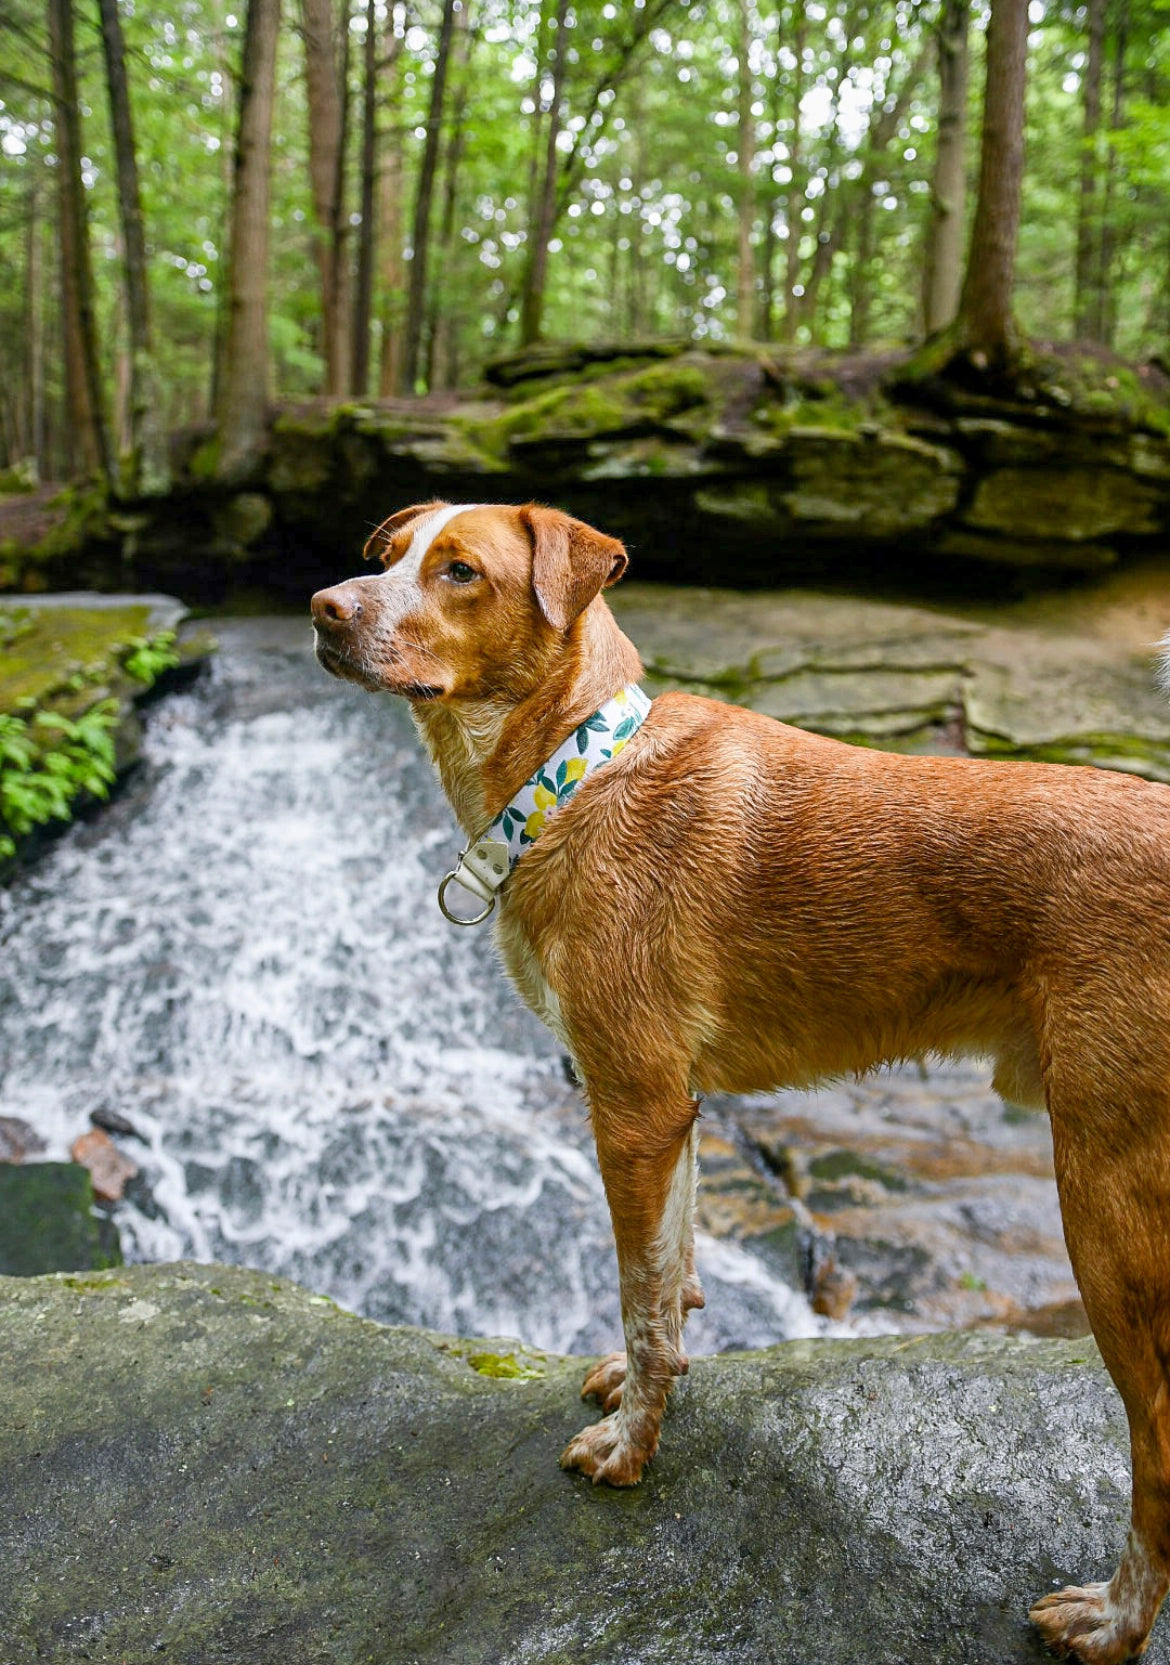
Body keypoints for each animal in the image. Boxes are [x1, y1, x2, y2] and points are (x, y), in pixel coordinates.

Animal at [311, 499, 1170, 1658]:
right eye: (387, 557)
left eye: (460, 572)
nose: (323, 608)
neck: (571, 771)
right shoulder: (669, 1108)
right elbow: (671, 1283)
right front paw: (639, 1390)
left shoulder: (630, 1104)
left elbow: (640, 1293)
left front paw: (629, 1452)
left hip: (1106, 1201)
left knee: (1158, 1443)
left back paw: (1114, 1620)